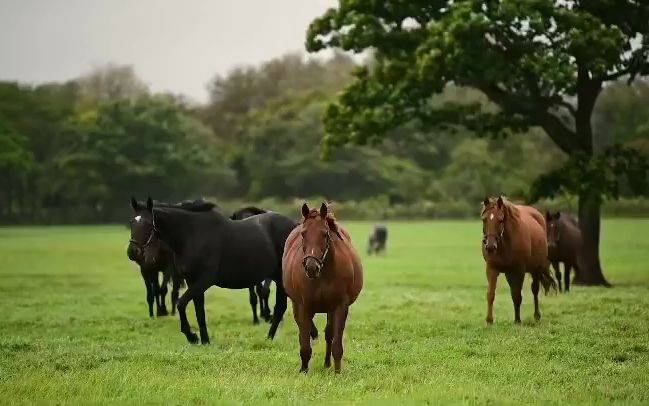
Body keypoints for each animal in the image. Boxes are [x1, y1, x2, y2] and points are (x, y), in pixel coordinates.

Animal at [130, 198, 302, 344]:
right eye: (132, 222)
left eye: (148, 223)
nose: (133, 252)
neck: (192, 234)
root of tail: (296, 225)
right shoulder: (192, 281)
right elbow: (199, 311)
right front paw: (204, 340)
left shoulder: (204, 280)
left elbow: (181, 303)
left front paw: (191, 336)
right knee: (280, 307)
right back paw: (270, 337)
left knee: (280, 307)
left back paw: (269, 337)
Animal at [284, 203, 364, 374]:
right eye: (303, 234)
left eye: (325, 234)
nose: (311, 267)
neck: (322, 276)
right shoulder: (304, 306)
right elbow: (305, 343)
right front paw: (303, 371)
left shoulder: (339, 306)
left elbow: (336, 343)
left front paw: (337, 372)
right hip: (297, 305)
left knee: (329, 334)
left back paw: (327, 363)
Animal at [478, 195, 556, 326]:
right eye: (484, 219)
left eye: (500, 220)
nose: (490, 247)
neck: (505, 244)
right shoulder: (492, 269)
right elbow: (491, 294)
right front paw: (489, 320)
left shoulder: (519, 271)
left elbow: (517, 296)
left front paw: (517, 320)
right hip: (510, 274)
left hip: (536, 269)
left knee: (534, 290)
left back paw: (536, 316)